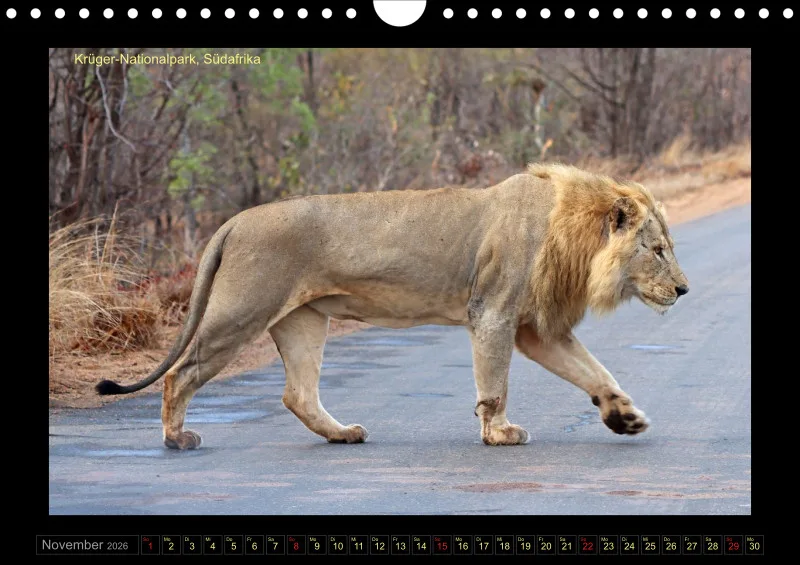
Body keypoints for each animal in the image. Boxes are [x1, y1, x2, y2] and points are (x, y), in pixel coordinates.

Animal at [96, 163, 689, 449]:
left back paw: (343, 434)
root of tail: (235, 221)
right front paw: (498, 434)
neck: (575, 237)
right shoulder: (494, 312)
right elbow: (494, 385)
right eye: (658, 250)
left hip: (304, 321)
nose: (685, 291)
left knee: (297, 394)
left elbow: (596, 372)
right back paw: (176, 439)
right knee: (183, 373)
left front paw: (624, 418)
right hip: (240, 312)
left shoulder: (534, 329)